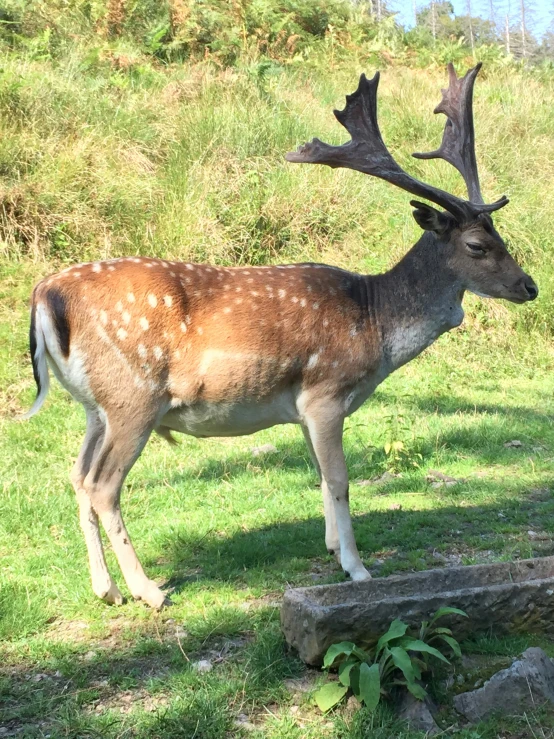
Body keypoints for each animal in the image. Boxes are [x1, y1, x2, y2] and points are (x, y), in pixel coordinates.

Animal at [21, 63, 536, 608]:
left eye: (499, 236)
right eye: (478, 245)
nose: (530, 286)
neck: (375, 321)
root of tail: (45, 293)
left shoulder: (303, 409)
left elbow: (320, 476)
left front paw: (331, 547)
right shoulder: (326, 390)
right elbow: (340, 479)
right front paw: (357, 568)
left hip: (94, 407)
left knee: (77, 477)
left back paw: (107, 590)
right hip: (132, 398)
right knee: (103, 486)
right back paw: (149, 590)